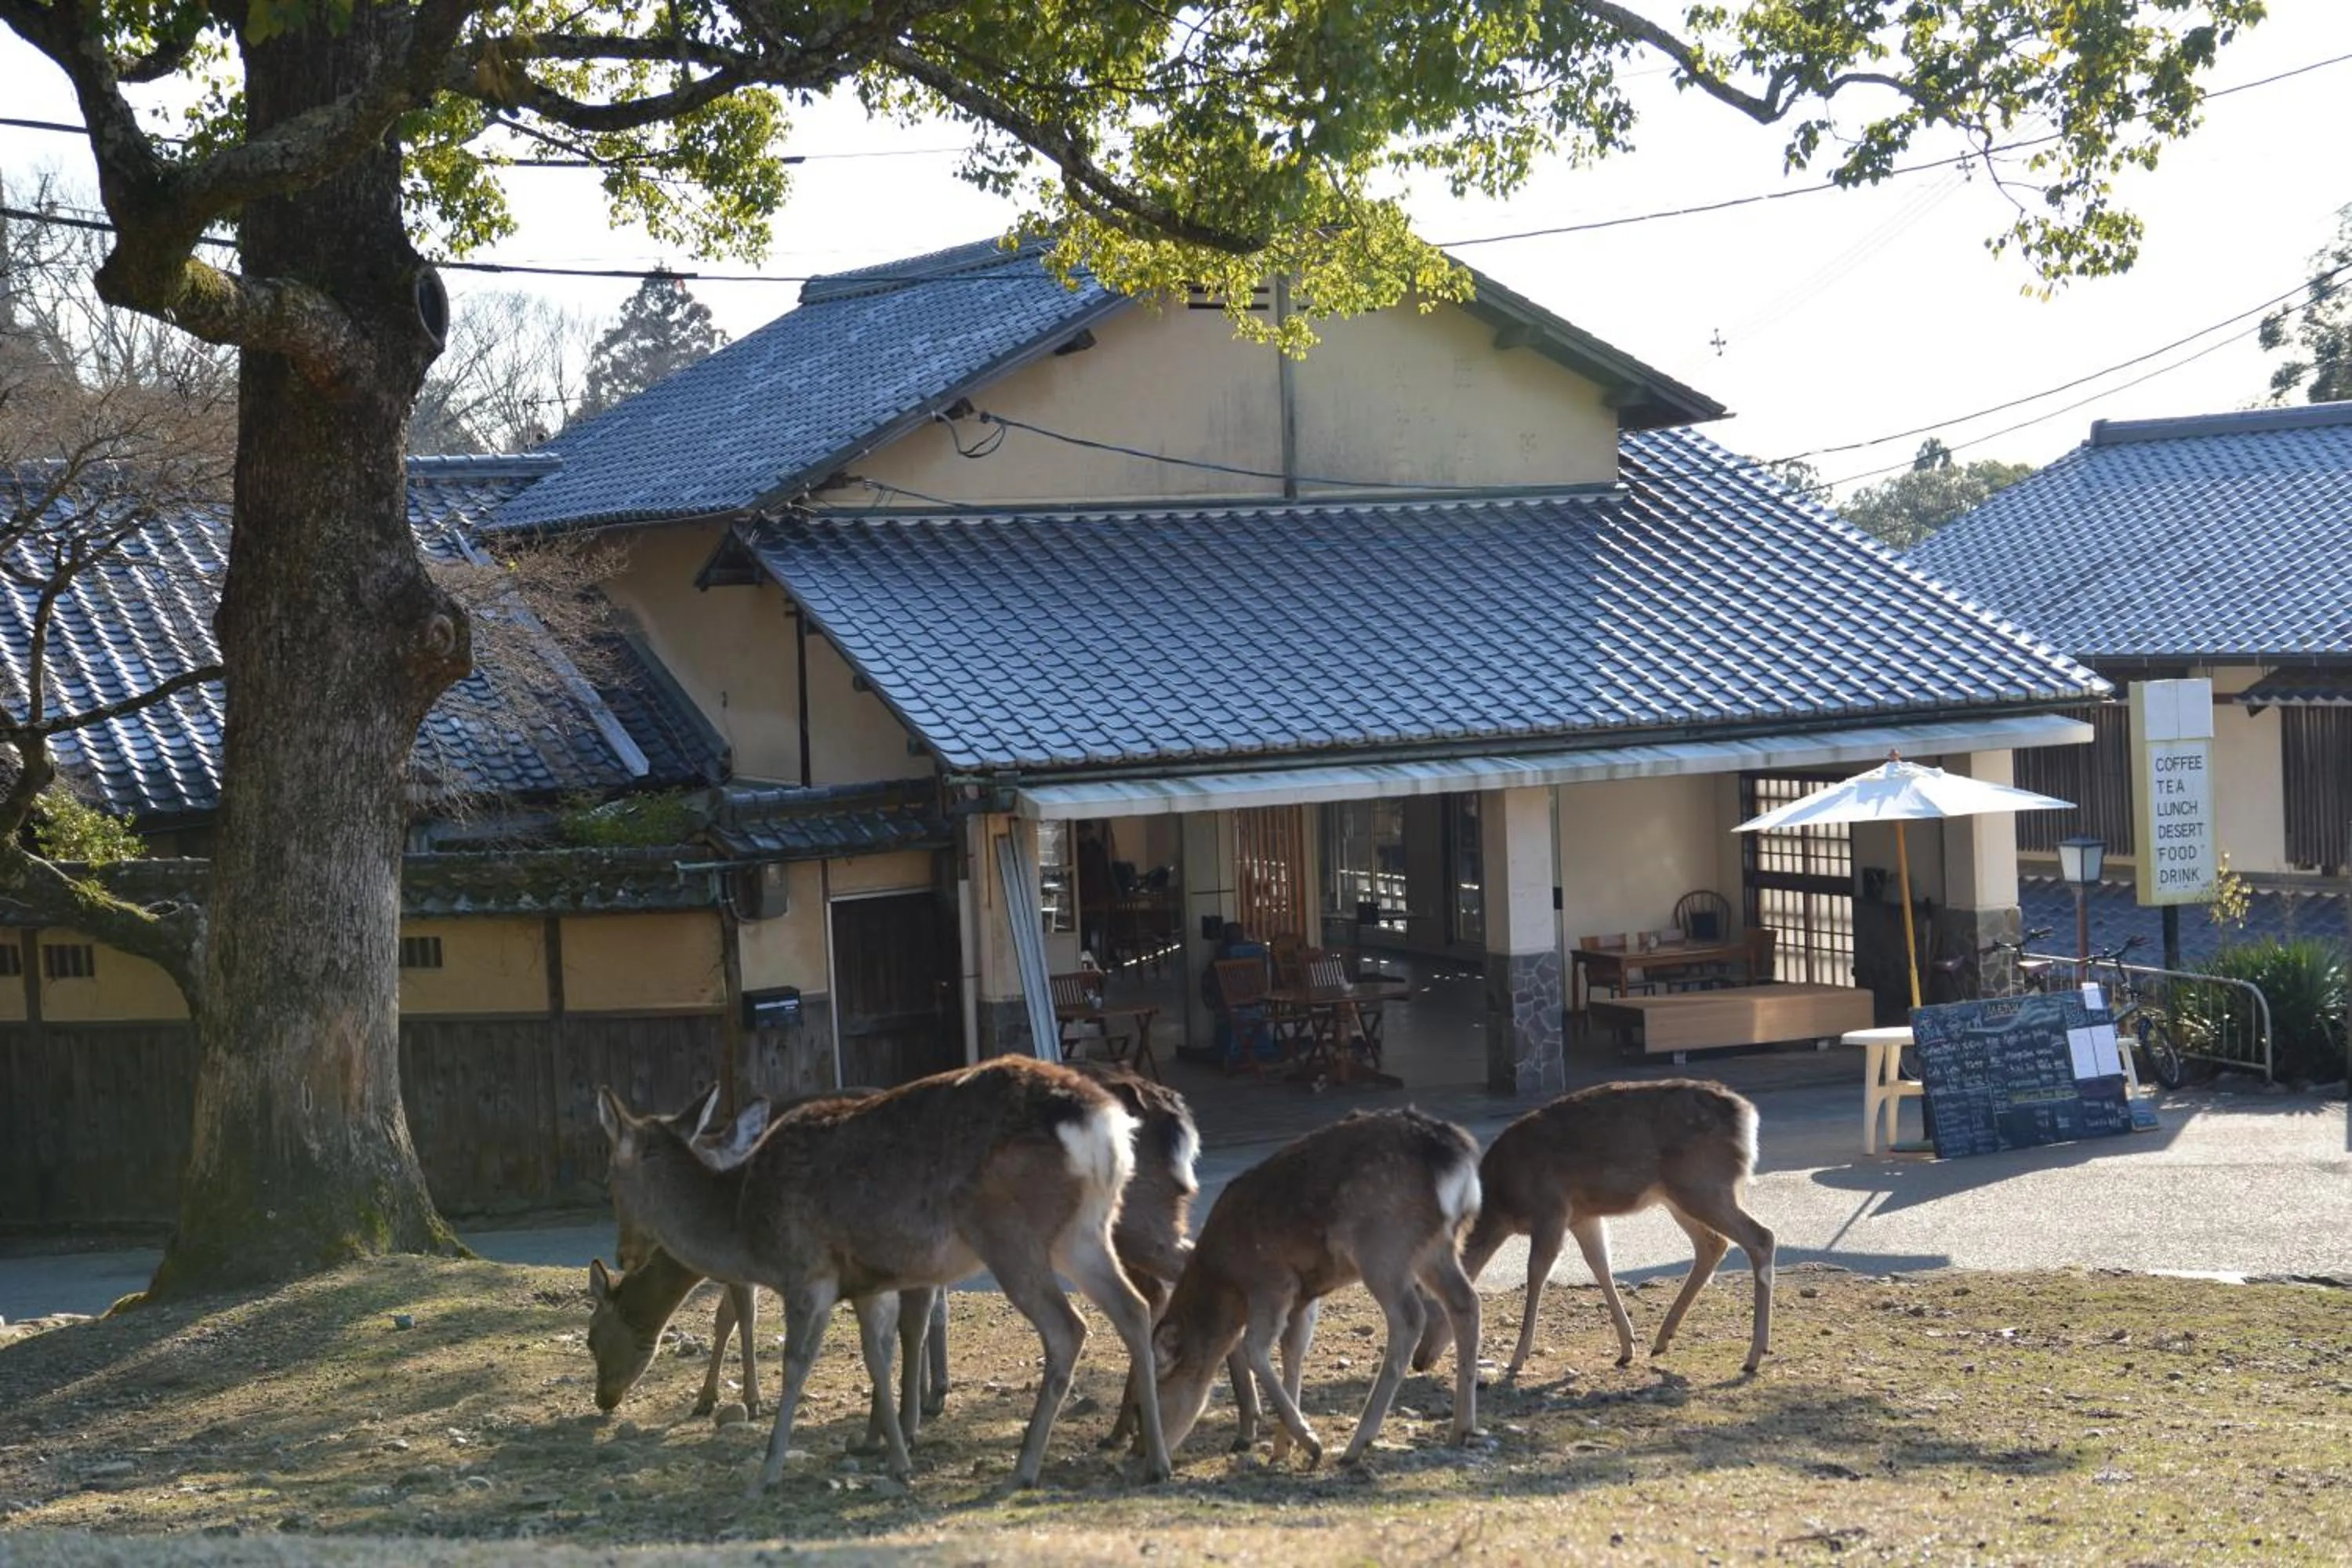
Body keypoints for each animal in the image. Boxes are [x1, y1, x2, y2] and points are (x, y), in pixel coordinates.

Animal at [588, 1090, 948, 1444]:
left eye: (591, 1340)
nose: (602, 1400)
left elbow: (745, 1320)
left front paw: (752, 1400)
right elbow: (723, 1321)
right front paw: (706, 1399)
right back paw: (932, 1395)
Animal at [1152, 1107, 1484, 1470]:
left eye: (1148, 1402)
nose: (1140, 1450)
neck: (1225, 1280)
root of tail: (1455, 1158)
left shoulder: (1271, 1281)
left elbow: (1255, 1348)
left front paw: (1310, 1442)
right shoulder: (1303, 1297)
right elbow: (1293, 1351)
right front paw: (1282, 1448)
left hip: (1383, 1246)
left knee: (1409, 1317)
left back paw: (1357, 1444)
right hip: (1437, 1246)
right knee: (1466, 1301)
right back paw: (1462, 1428)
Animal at [1409, 1078, 1775, 1381]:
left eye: (1431, 1302)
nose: (1418, 1360)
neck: (1503, 1205)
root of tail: (1747, 1115)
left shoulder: (1550, 1209)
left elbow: (1536, 1273)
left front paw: (1517, 1358)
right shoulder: (1581, 1215)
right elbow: (1600, 1264)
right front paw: (1627, 1347)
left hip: (1704, 1184)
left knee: (1761, 1237)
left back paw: (1753, 1356)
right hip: (1679, 1194)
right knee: (1713, 1244)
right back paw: (1662, 1340)